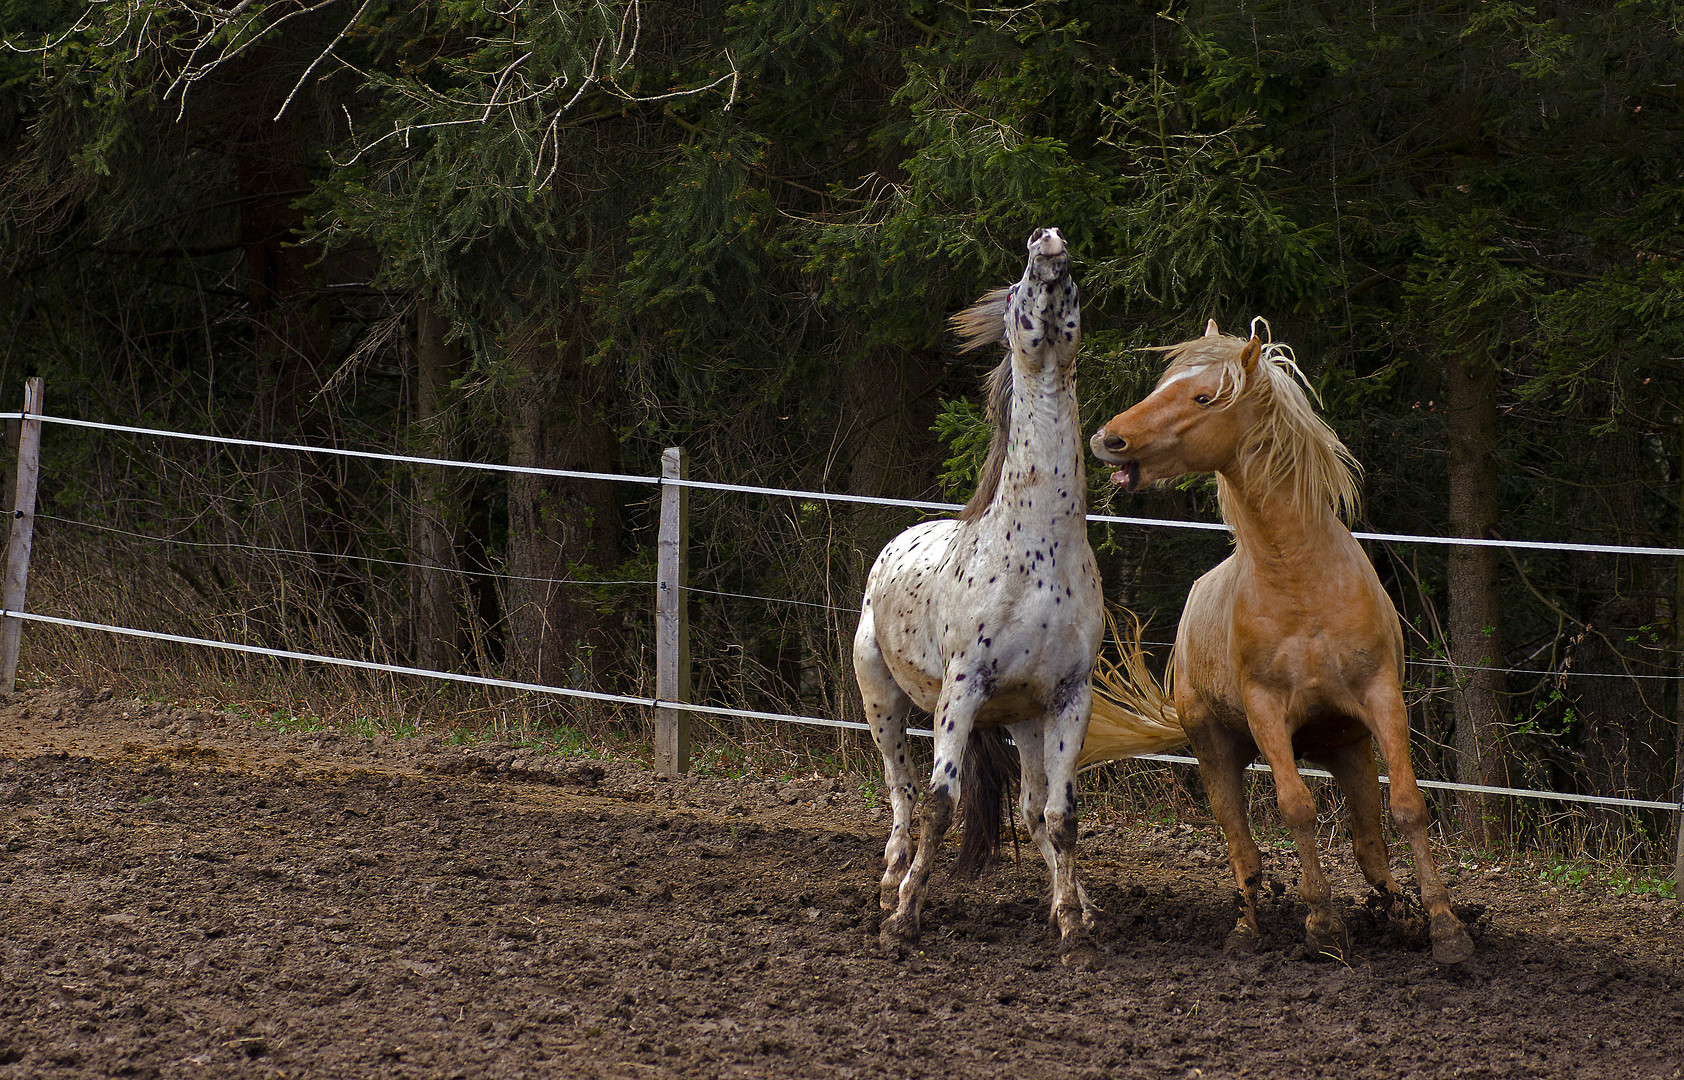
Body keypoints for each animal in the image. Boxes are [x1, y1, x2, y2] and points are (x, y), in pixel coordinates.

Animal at [855, 225, 1104, 950]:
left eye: (1074, 286)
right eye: (1020, 289)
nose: (1048, 241)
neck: (1036, 556)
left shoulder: (1069, 696)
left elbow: (1061, 815)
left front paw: (1073, 924)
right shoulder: (961, 691)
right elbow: (940, 806)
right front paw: (904, 916)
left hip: (1020, 719)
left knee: (1030, 808)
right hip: (882, 699)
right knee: (903, 791)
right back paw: (890, 883)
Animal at [1084, 318, 1468, 957]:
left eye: (1202, 397)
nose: (1107, 439)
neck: (1301, 582)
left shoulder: (1381, 698)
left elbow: (1409, 807)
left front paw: (1444, 926)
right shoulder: (1267, 713)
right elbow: (1296, 809)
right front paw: (1323, 925)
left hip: (1346, 747)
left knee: (1370, 847)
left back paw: (1397, 913)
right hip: (1216, 749)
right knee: (1242, 845)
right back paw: (1246, 928)